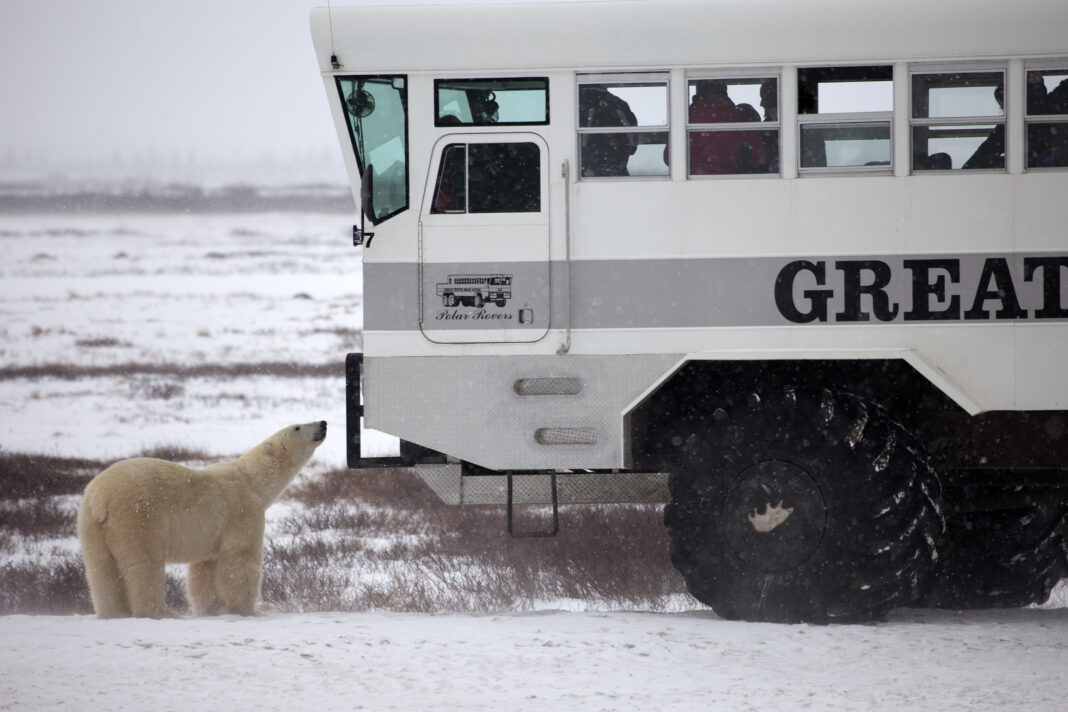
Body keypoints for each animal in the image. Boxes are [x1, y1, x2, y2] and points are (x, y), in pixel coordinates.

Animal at [77, 422, 326, 619]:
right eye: (297, 427)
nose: (323, 423)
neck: (252, 480)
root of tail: (101, 497)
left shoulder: (211, 533)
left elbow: (204, 570)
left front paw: (211, 609)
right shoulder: (243, 511)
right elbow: (241, 559)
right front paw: (249, 610)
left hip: (91, 523)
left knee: (100, 567)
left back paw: (113, 613)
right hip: (138, 515)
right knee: (144, 563)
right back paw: (162, 612)